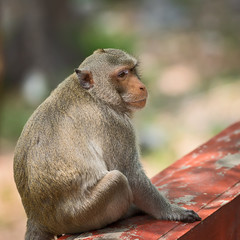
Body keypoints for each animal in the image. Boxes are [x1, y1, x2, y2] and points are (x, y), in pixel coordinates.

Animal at [13, 47, 201, 239]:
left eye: (132, 69)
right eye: (122, 74)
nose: (141, 86)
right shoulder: (116, 125)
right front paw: (172, 211)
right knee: (118, 180)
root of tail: (36, 217)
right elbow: (131, 175)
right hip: (80, 214)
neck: (94, 94)